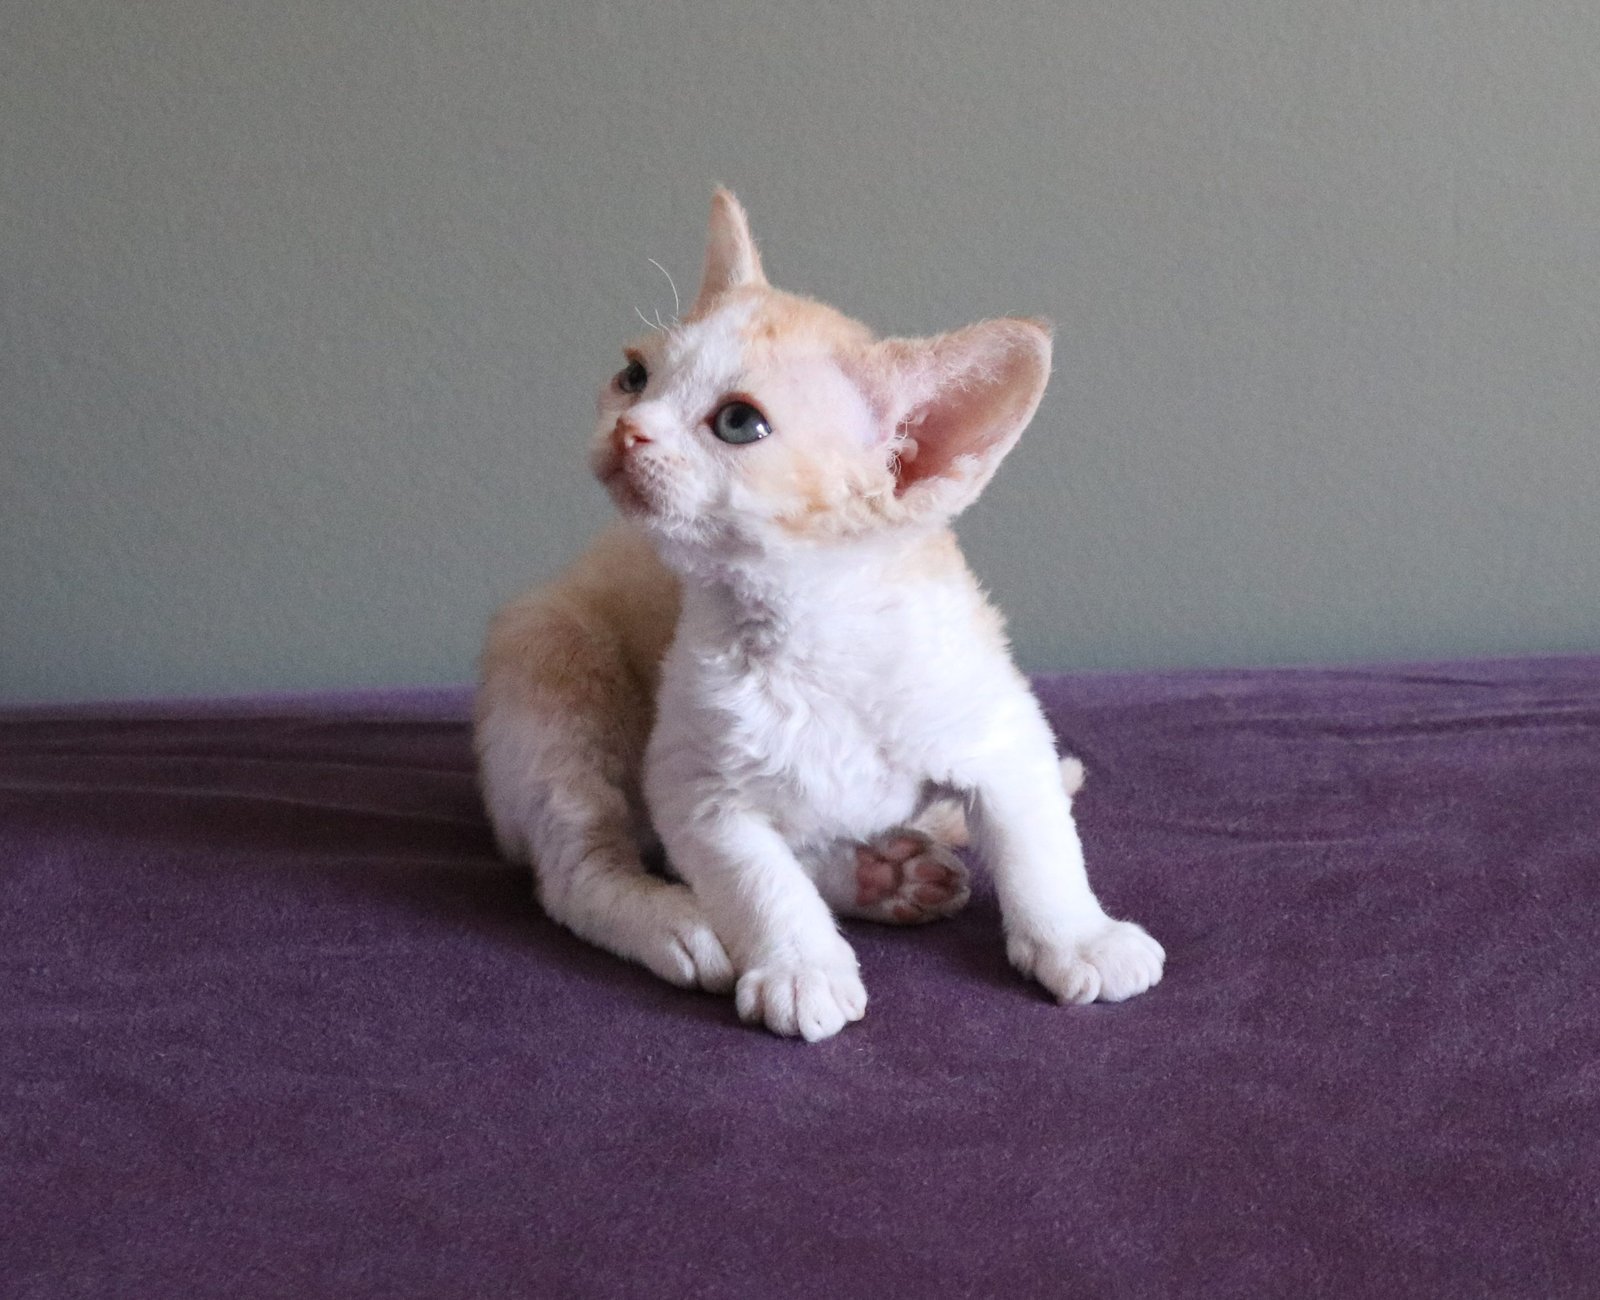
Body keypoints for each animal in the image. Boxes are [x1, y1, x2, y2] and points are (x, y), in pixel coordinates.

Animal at [474, 189, 1163, 1040]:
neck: (812, 631)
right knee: (578, 869)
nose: (627, 430)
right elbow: (756, 879)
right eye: (633, 376)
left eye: (738, 423)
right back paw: (686, 919)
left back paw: (884, 874)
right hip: (553, 670)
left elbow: (1039, 845)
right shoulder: (696, 785)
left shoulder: (1000, 731)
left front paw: (1080, 938)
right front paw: (799, 967)